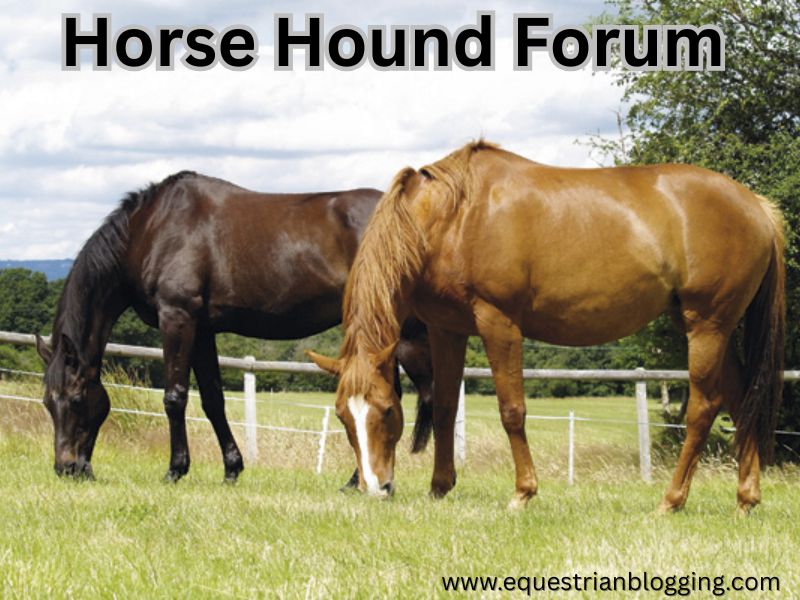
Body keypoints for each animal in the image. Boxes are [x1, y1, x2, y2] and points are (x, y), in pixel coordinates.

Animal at [34, 172, 434, 483]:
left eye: (75, 399)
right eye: (47, 402)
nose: (66, 467)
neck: (150, 230)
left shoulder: (177, 319)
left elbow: (175, 397)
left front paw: (175, 470)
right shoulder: (202, 330)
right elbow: (213, 400)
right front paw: (231, 469)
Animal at [308, 141, 785, 513]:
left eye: (387, 410)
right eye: (342, 416)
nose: (375, 488)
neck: (454, 216)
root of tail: (756, 206)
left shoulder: (499, 322)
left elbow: (512, 410)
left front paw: (523, 493)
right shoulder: (447, 329)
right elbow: (444, 406)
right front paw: (439, 488)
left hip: (707, 326)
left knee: (704, 408)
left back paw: (671, 501)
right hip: (712, 327)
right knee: (742, 399)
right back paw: (746, 499)